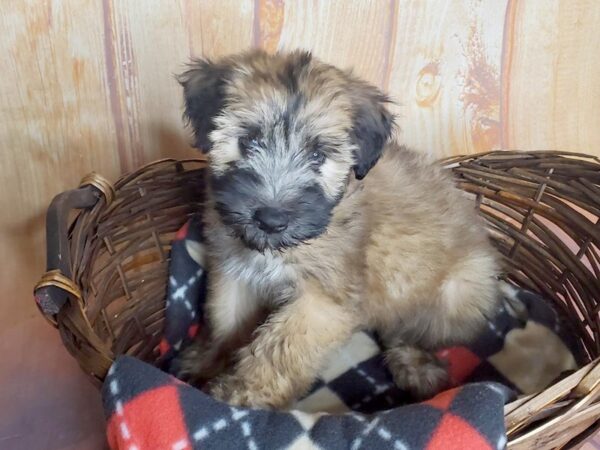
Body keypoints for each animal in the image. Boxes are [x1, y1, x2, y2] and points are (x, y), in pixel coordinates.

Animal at [175, 49, 502, 408]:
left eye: (318, 155)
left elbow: (281, 348)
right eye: (248, 141)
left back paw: (415, 364)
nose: (271, 220)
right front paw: (209, 360)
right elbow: (224, 320)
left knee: (414, 330)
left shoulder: (323, 301)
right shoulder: (233, 270)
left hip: (459, 291)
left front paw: (242, 395)